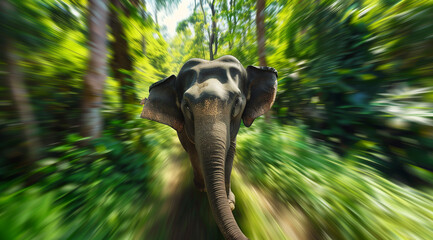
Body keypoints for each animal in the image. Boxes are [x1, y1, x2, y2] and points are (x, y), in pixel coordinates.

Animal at [140, 55, 278, 239]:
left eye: (237, 103)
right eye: (186, 105)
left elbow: (230, 154)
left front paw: (230, 202)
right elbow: (193, 151)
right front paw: (201, 188)